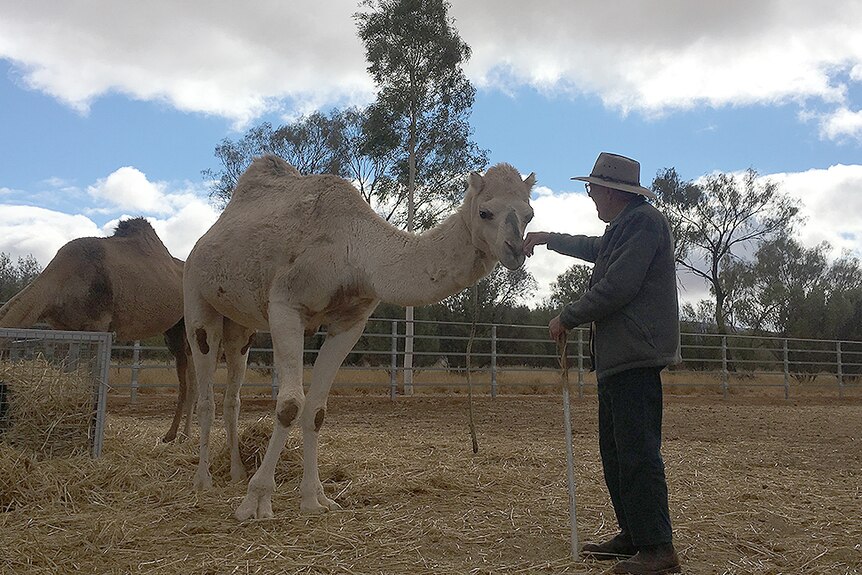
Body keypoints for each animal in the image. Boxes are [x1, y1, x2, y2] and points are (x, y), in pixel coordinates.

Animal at [1, 216, 194, 440]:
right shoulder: (71, 331)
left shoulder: (99, 326)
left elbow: (95, 381)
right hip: (173, 330)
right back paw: (177, 434)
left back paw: (180, 435)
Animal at [184, 155, 532, 520]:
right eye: (485, 212)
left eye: (529, 214)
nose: (515, 250)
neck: (357, 252)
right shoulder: (285, 304)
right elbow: (290, 404)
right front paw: (256, 501)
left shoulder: (350, 322)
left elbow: (316, 409)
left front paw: (316, 500)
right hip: (197, 298)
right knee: (206, 394)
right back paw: (203, 481)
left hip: (241, 327)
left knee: (232, 397)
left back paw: (236, 473)